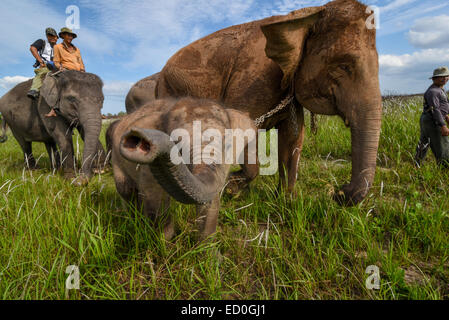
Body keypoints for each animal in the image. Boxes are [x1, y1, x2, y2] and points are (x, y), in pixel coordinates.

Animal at [108, 97, 256, 240]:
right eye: (178, 146)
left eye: (228, 145)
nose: (138, 138)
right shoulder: (147, 170)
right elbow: (156, 199)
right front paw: (165, 243)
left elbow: (209, 201)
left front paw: (206, 247)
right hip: (116, 158)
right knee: (127, 191)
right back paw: (135, 221)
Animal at [156, 0, 380, 205]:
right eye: (344, 66)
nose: (338, 192)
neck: (304, 17)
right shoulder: (252, 78)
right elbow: (243, 128)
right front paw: (231, 187)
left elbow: (293, 137)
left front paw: (286, 200)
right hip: (169, 89)